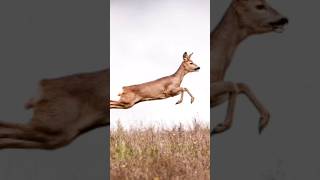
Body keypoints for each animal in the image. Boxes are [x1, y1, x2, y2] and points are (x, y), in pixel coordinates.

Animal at [211, 0, 288, 135]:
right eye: (259, 6)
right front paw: (221, 126)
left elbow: (240, 85)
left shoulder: (218, 98)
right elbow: (233, 85)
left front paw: (263, 121)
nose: (284, 19)